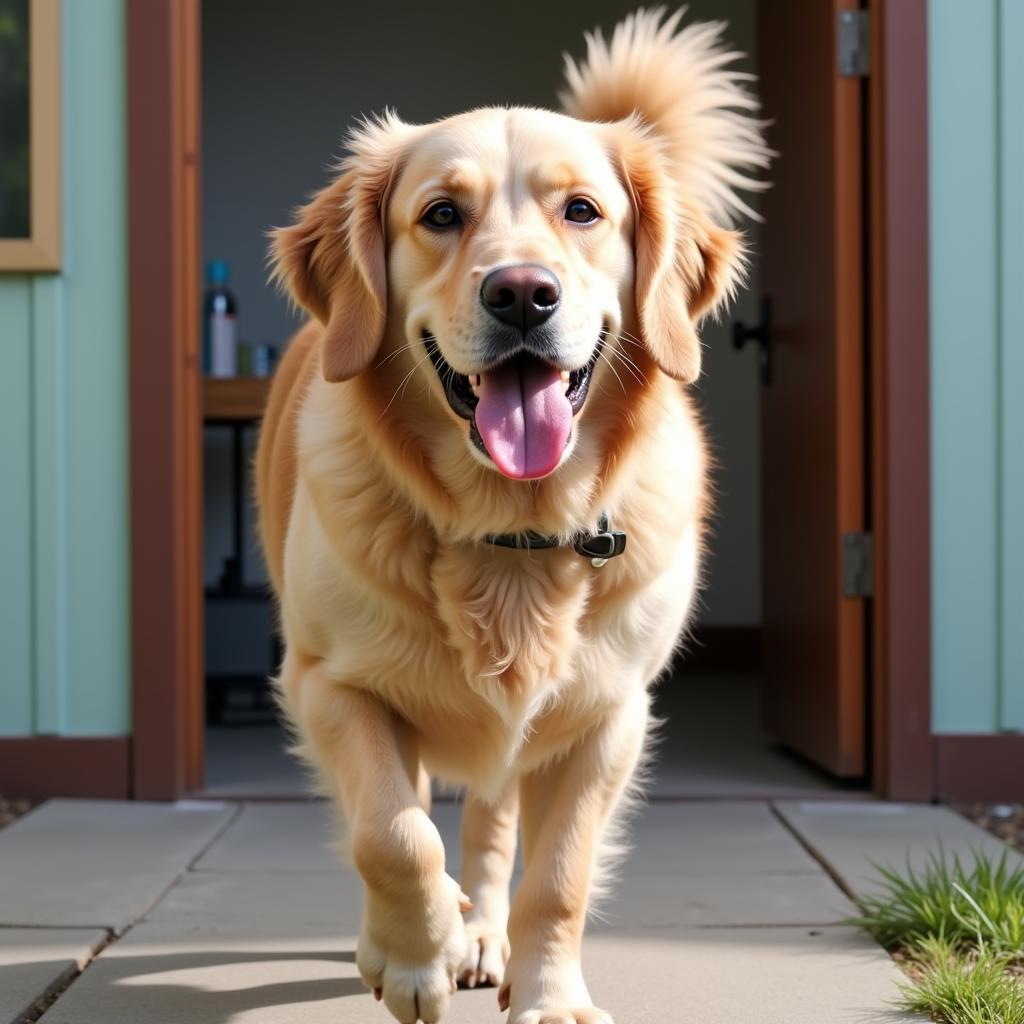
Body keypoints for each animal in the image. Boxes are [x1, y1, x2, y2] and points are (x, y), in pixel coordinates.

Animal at [256, 9, 770, 1024]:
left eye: (583, 212)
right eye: (440, 216)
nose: (523, 293)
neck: (511, 531)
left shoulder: (608, 715)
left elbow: (558, 877)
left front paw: (548, 996)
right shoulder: (331, 685)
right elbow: (393, 834)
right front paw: (415, 958)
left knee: (493, 831)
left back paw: (484, 933)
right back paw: (414, 939)